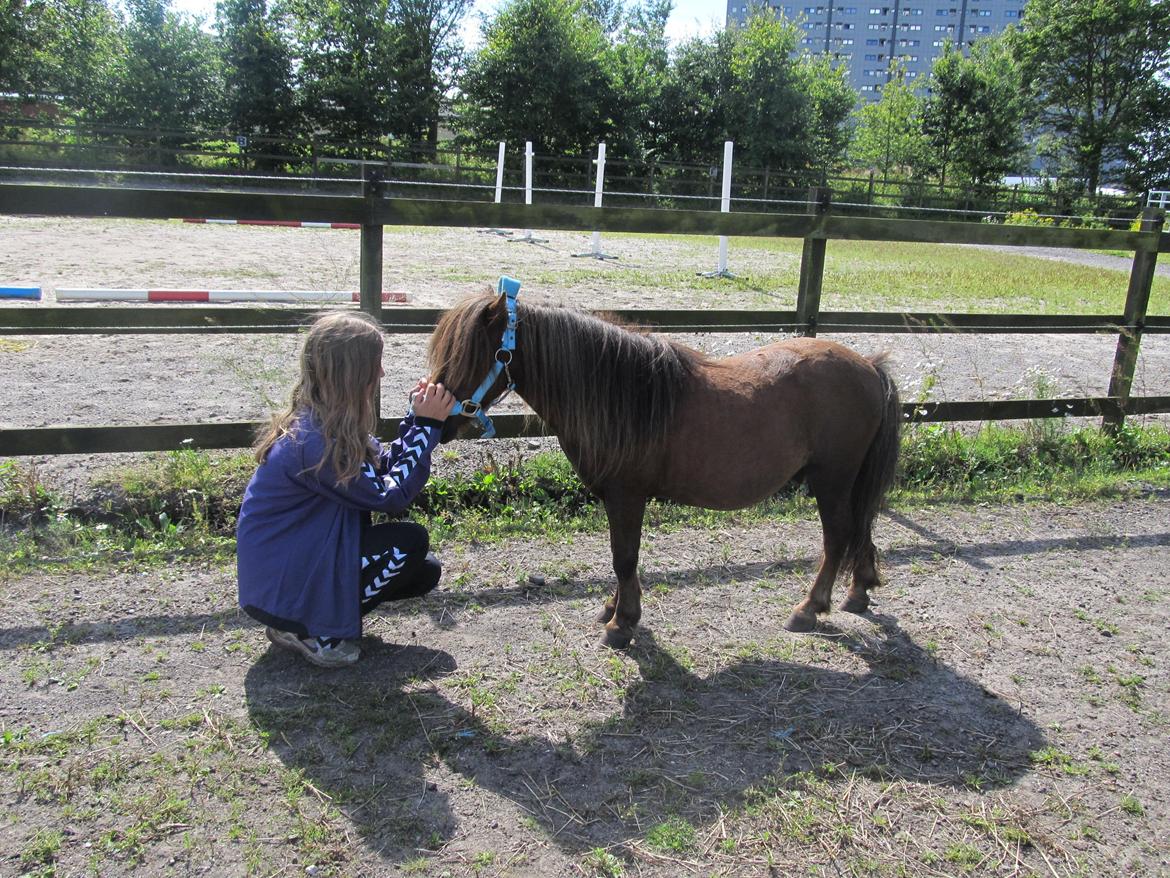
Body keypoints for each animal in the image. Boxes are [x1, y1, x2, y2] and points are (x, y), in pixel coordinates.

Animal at [430, 292, 903, 650]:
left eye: (470, 353)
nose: (437, 419)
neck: (622, 393)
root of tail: (868, 367)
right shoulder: (618, 500)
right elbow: (622, 559)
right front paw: (614, 609)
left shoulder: (627, 496)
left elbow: (624, 558)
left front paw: (622, 624)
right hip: (847, 482)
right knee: (859, 528)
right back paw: (858, 591)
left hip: (833, 479)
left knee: (837, 537)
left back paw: (809, 609)